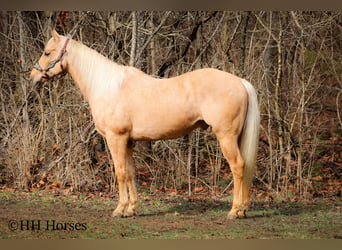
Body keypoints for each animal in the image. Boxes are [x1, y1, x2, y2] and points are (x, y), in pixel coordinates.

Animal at [30, 29, 260, 219]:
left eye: (47, 53)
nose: (33, 77)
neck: (108, 86)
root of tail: (240, 82)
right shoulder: (128, 141)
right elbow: (131, 173)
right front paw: (131, 209)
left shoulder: (116, 138)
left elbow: (120, 172)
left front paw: (119, 209)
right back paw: (242, 210)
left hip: (226, 136)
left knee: (238, 166)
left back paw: (235, 211)